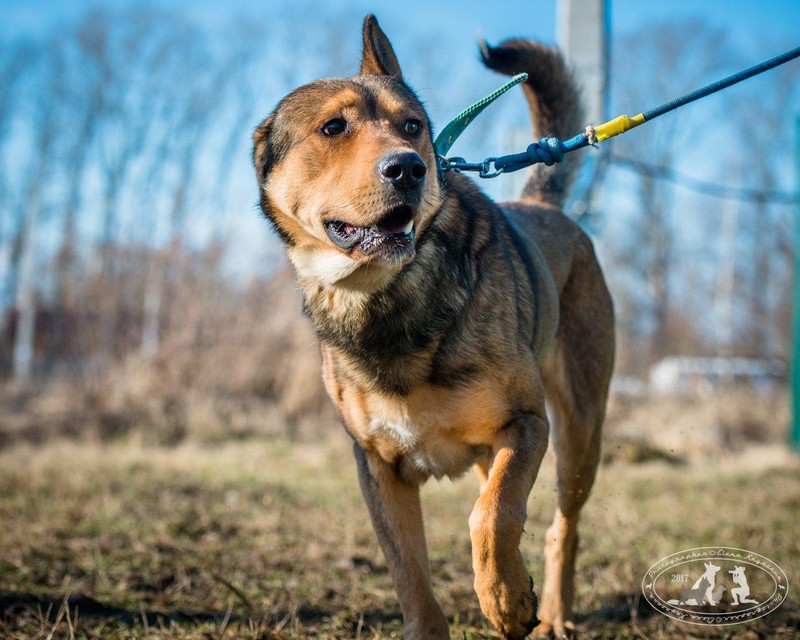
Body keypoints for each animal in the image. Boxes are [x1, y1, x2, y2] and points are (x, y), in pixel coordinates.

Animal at [253, 15, 616, 640]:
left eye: (412, 127)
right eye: (333, 127)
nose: (409, 168)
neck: (386, 294)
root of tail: (544, 207)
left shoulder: (526, 424)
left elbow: (492, 516)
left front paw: (506, 600)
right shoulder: (379, 470)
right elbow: (411, 578)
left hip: (578, 432)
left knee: (560, 524)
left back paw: (552, 612)